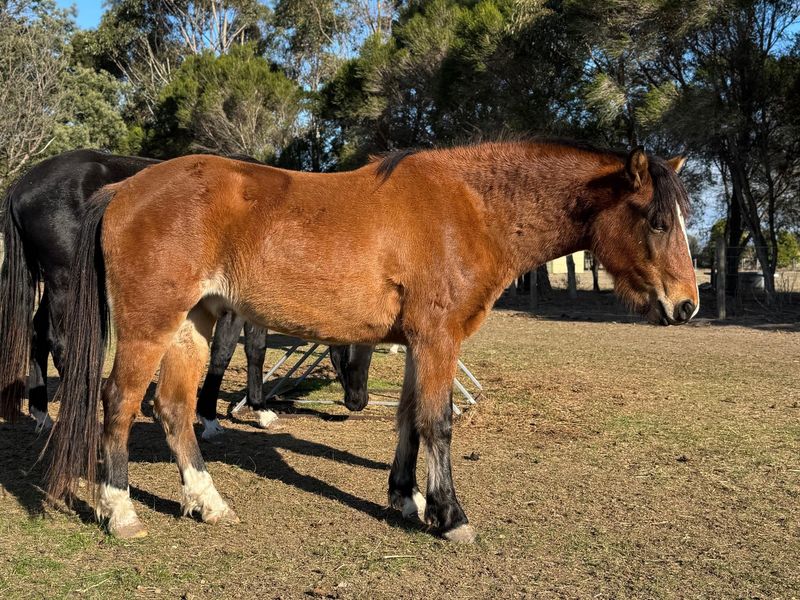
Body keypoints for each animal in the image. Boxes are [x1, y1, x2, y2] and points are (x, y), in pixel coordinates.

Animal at [0, 149, 373, 437]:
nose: (359, 401)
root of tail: (23, 183)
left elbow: (256, 350)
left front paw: (260, 410)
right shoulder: (231, 308)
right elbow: (222, 354)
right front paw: (208, 418)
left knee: (38, 332)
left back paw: (42, 415)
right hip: (64, 280)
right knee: (61, 341)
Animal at [44, 140, 698, 542]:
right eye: (658, 221)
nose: (687, 304)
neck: (469, 209)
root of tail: (125, 190)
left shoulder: (416, 344)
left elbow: (408, 420)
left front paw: (405, 500)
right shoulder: (438, 340)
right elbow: (438, 423)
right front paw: (450, 515)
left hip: (192, 325)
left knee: (175, 409)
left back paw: (208, 502)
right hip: (149, 326)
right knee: (118, 403)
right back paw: (121, 510)